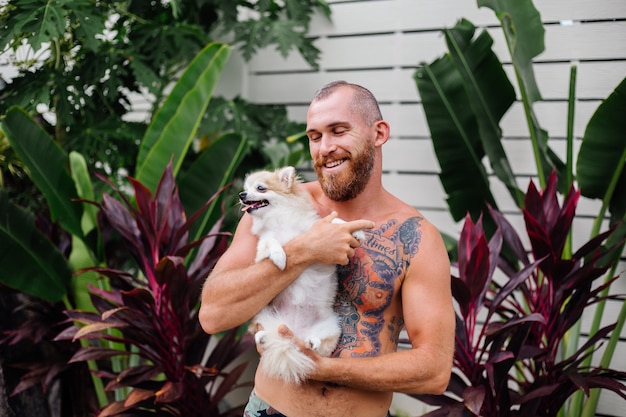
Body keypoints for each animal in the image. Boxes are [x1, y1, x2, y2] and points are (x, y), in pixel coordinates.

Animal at [240, 166, 366, 384]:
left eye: (260, 188)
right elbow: (272, 242)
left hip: (332, 326)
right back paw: (263, 337)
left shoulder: (312, 229)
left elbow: (336, 221)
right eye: (245, 188)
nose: (241, 195)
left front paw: (356, 232)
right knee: (262, 333)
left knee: (320, 344)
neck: (281, 220)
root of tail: (294, 332)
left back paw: (311, 341)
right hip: (263, 315)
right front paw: (280, 256)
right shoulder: (262, 248)